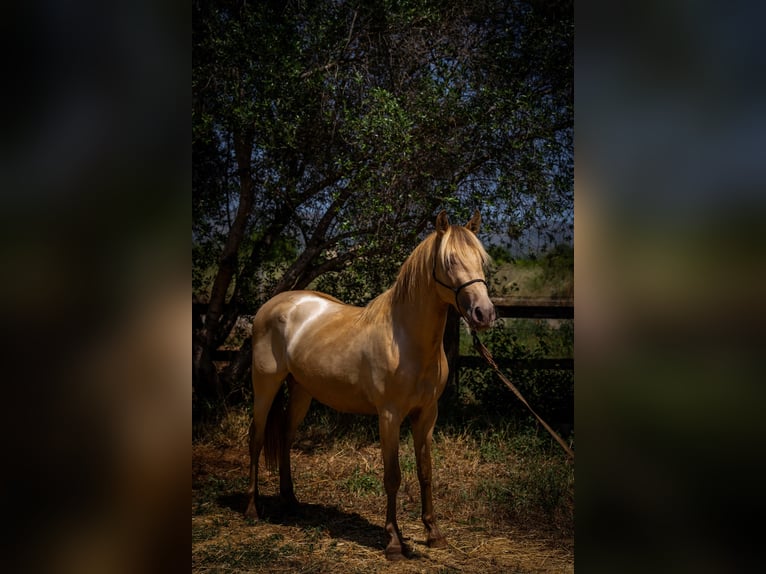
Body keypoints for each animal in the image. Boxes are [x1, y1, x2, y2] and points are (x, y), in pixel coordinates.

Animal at [245, 210, 496, 560]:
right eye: (450, 260)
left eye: (481, 260)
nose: (484, 313)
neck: (406, 340)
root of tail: (273, 305)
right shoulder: (389, 416)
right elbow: (392, 476)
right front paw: (393, 542)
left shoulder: (427, 415)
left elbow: (425, 472)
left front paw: (433, 533)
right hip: (265, 386)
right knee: (256, 439)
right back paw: (252, 510)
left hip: (301, 392)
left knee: (285, 436)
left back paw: (292, 502)